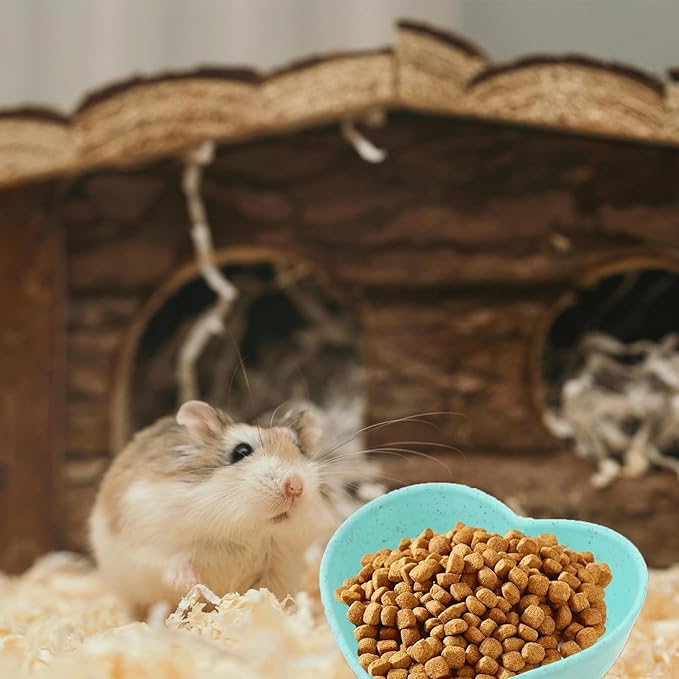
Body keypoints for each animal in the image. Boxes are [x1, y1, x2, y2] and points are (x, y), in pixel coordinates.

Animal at [89, 400, 336, 618]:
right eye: (241, 451)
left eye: (299, 450)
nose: (295, 486)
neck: (245, 531)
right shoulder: (151, 541)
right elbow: (171, 561)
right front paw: (191, 582)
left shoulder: (279, 567)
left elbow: (269, 594)